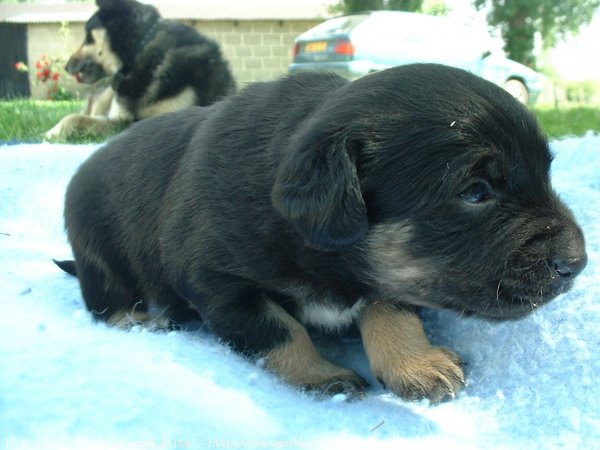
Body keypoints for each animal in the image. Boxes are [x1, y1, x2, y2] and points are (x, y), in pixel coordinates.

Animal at [45, 0, 234, 141]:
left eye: (88, 35)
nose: (66, 67)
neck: (139, 52)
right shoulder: (118, 118)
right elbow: (75, 117)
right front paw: (54, 132)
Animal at [59, 62, 584, 400]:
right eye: (475, 193)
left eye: (547, 172)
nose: (577, 263)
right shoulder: (216, 281)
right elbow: (279, 330)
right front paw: (320, 376)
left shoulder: (382, 270)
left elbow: (393, 309)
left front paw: (416, 364)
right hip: (96, 252)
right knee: (102, 300)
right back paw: (136, 319)